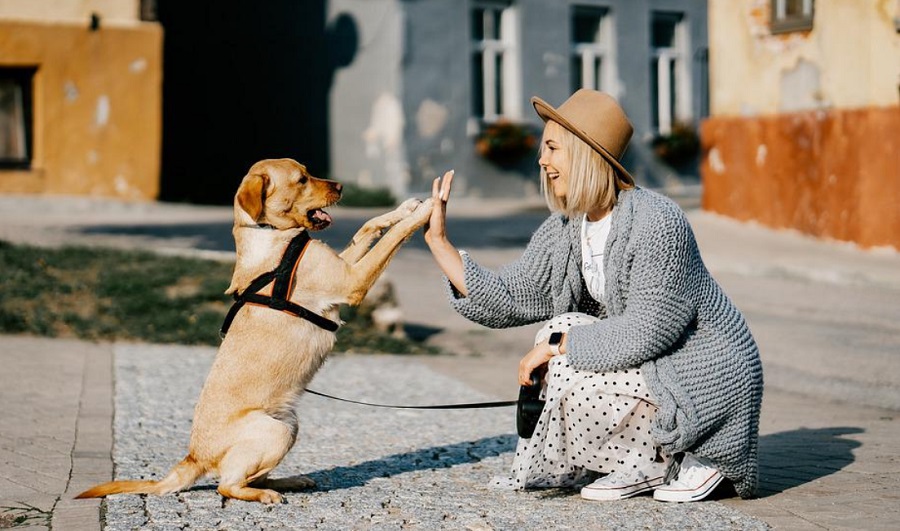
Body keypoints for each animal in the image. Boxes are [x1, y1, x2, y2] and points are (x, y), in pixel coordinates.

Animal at [75, 158, 434, 502]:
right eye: (301, 179)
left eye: (308, 172)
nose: (341, 186)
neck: (271, 234)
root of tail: (194, 457)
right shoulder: (351, 281)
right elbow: (392, 238)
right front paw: (426, 210)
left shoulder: (344, 266)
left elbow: (368, 226)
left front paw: (405, 208)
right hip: (274, 431)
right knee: (227, 485)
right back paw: (265, 494)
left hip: (289, 425)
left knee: (249, 476)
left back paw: (290, 481)